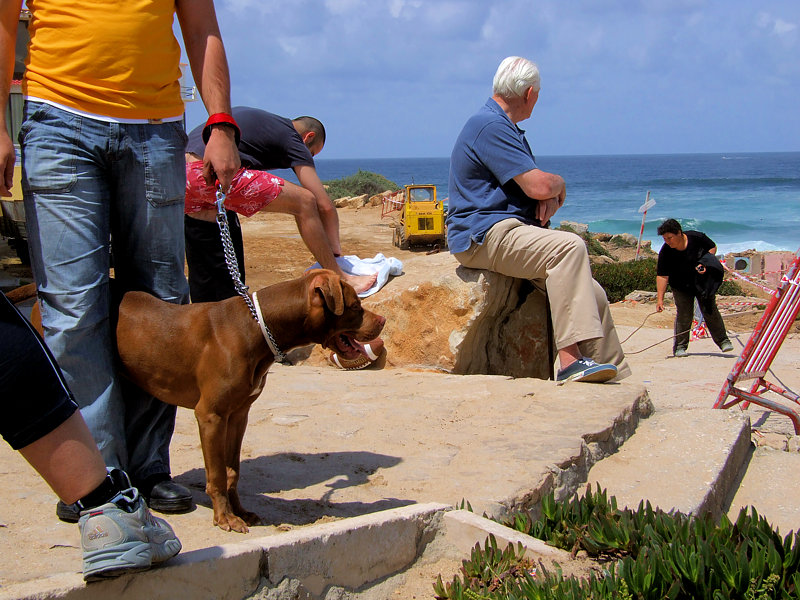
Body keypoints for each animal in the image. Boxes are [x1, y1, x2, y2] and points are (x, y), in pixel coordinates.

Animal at [115, 270, 384, 532]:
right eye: (355, 306)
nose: (382, 320)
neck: (256, 328)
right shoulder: (211, 416)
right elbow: (217, 474)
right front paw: (225, 517)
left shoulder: (238, 416)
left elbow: (232, 470)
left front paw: (239, 511)